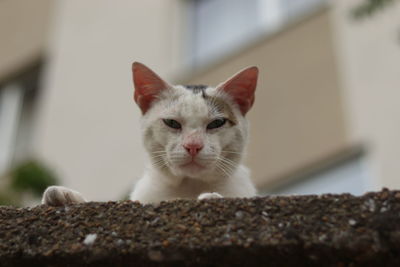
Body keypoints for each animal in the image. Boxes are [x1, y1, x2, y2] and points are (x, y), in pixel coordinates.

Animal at [42, 61, 258, 206]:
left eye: (216, 123)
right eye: (172, 122)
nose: (193, 145)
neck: (188, 186)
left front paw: (212, 196)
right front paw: (66, 197)